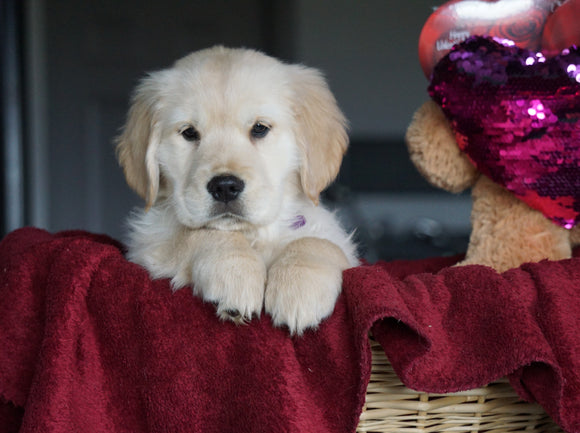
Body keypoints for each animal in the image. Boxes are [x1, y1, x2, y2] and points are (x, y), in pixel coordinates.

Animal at [116, 45, 358, 334]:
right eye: (189, 133)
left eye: (260, 128)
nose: (224, 187)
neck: (255, 234)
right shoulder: (148, 244)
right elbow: (200, 234)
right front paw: (236, 273)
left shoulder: (340, 247)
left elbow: (319, 243)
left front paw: (300, 290)